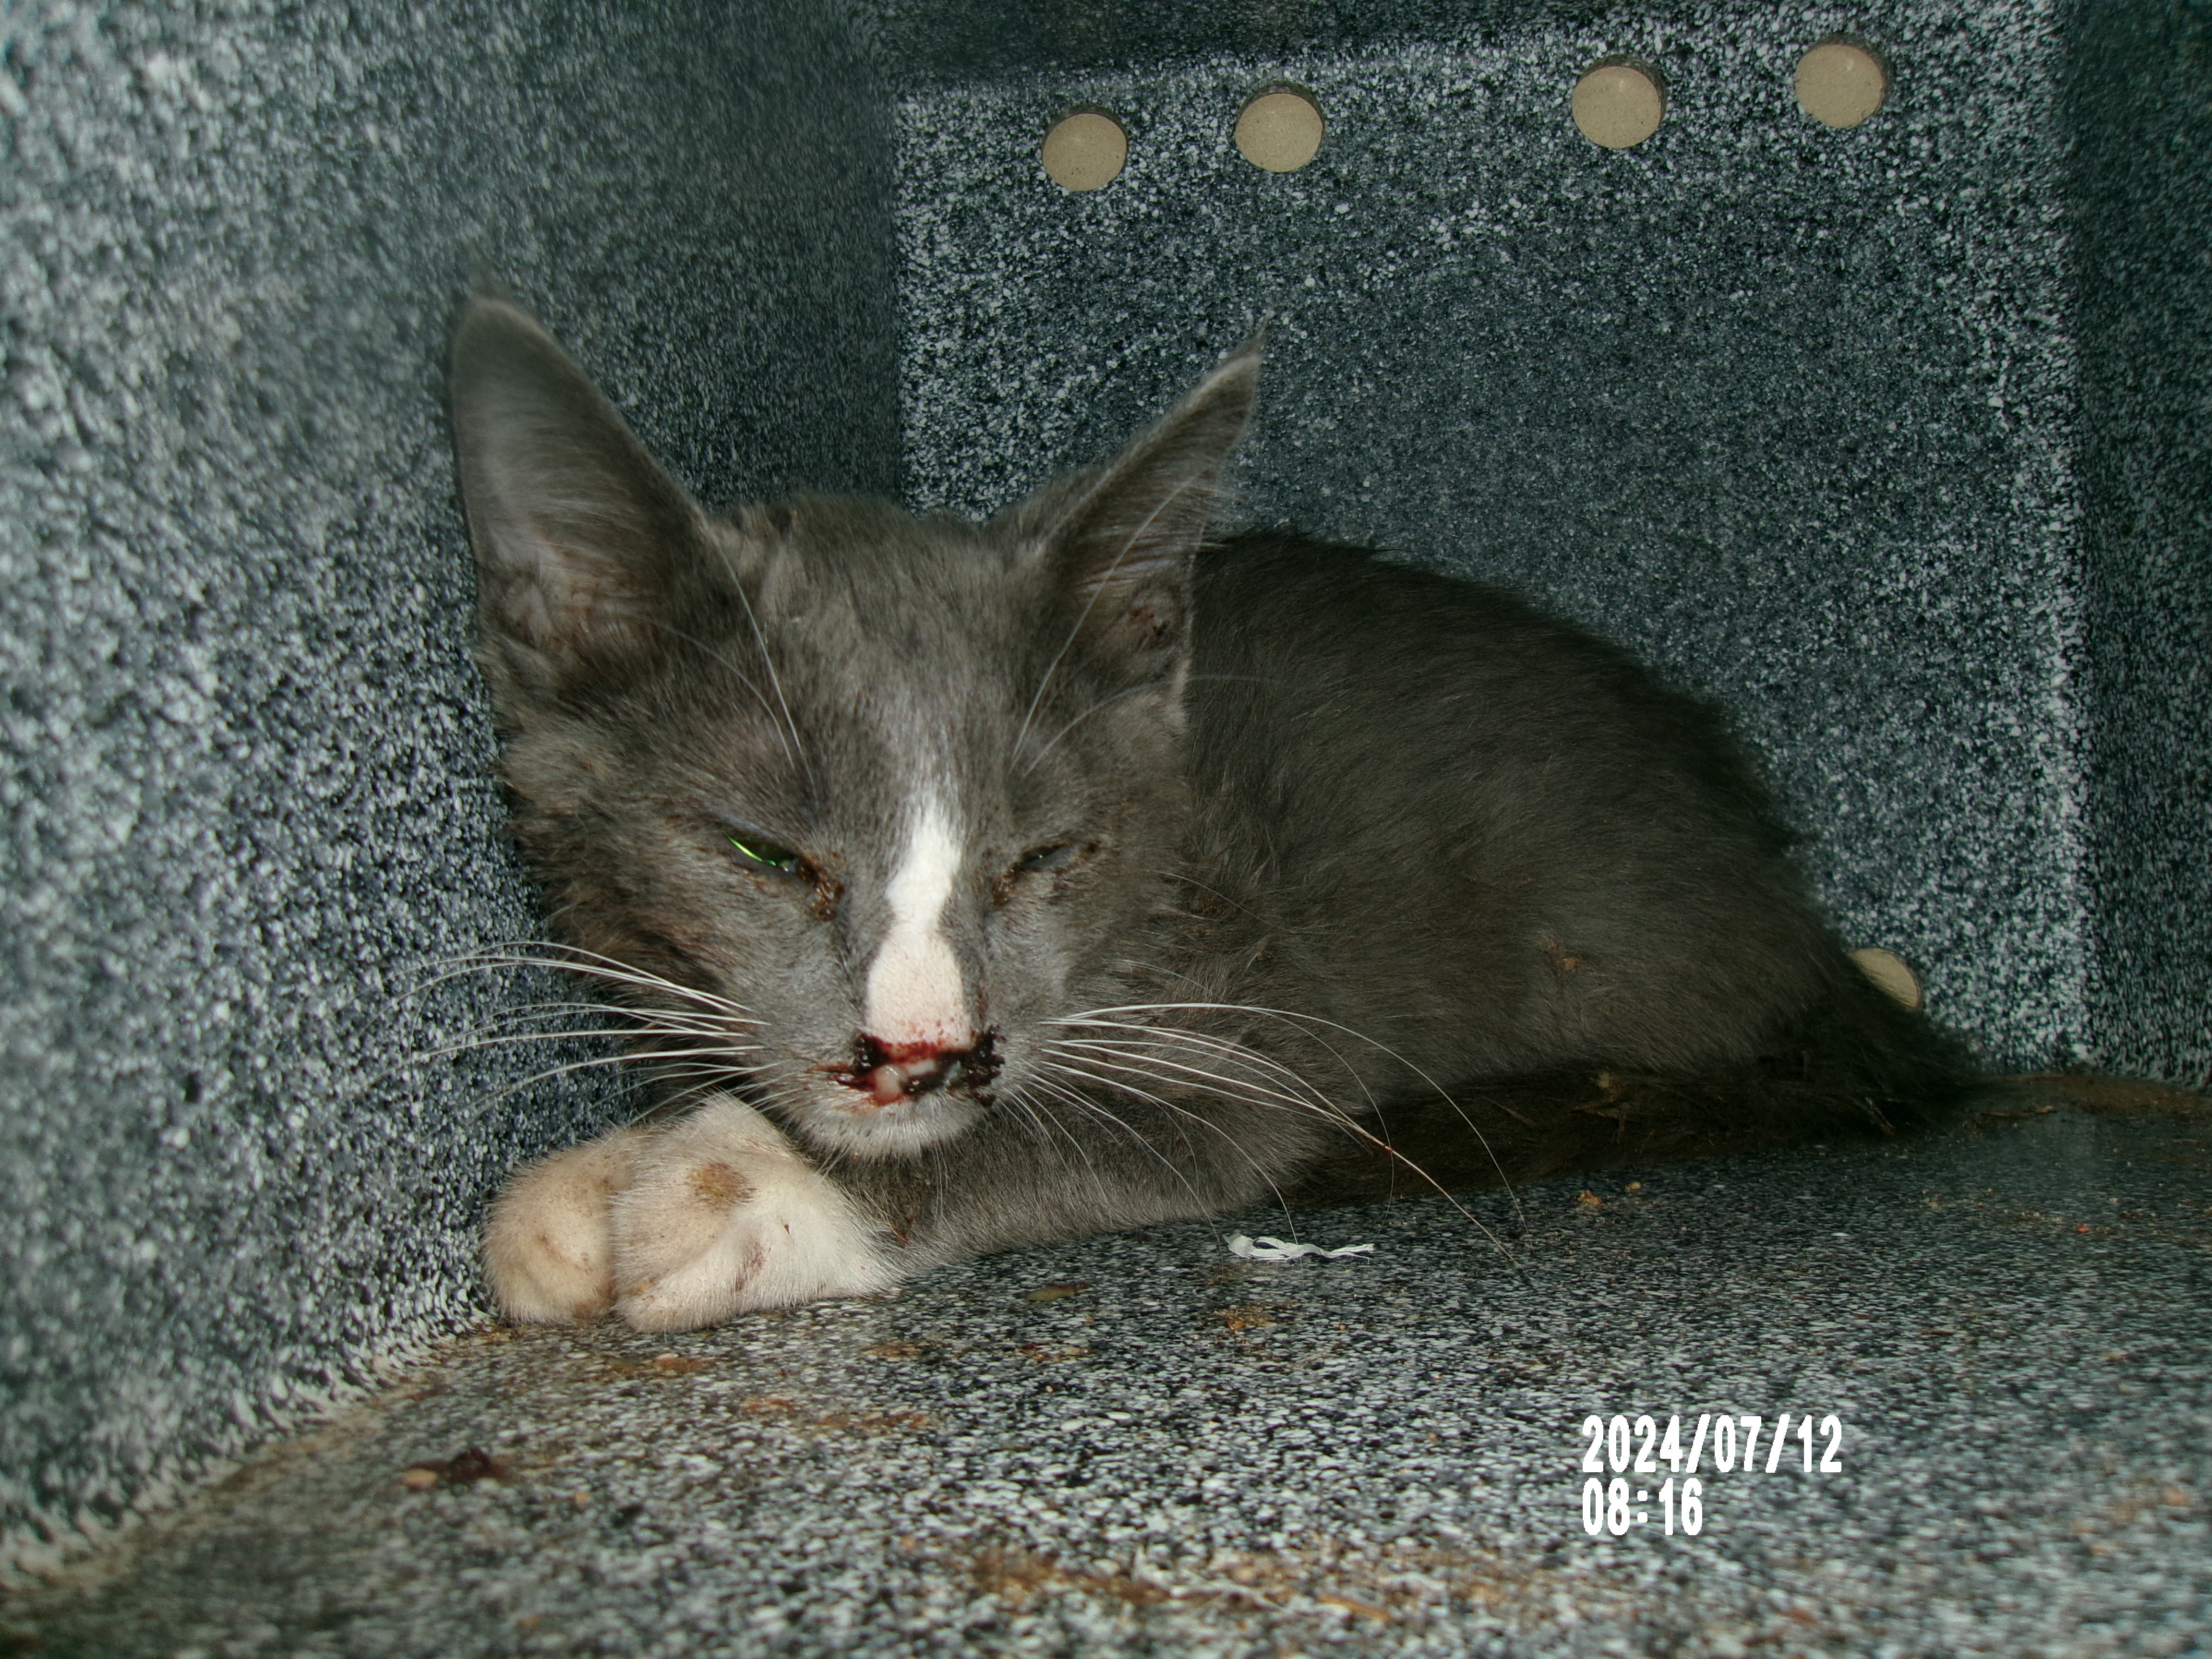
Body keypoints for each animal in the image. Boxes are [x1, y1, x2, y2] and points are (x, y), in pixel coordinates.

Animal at [449, 296, 1973, 1336]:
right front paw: (609, 1180)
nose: (925, 1055)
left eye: (1046, 858)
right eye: (765, 855)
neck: (1160, 877)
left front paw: (737, 1188)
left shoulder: (1255, 1016)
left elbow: (1099, 1136)